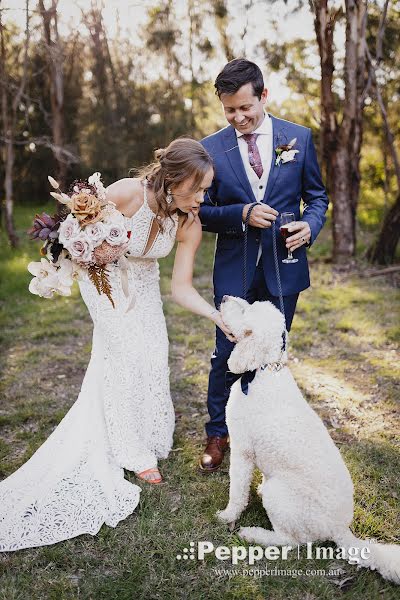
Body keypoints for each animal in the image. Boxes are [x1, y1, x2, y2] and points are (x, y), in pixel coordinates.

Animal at [217, 298, 398, 584]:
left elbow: (237, 491)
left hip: (280, 497)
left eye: (245, 310)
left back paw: (255, 534)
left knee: (291, 541)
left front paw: (227, 516)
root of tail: (339, 528)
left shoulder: (242, 451)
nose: (223, 298)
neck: (263, 370)